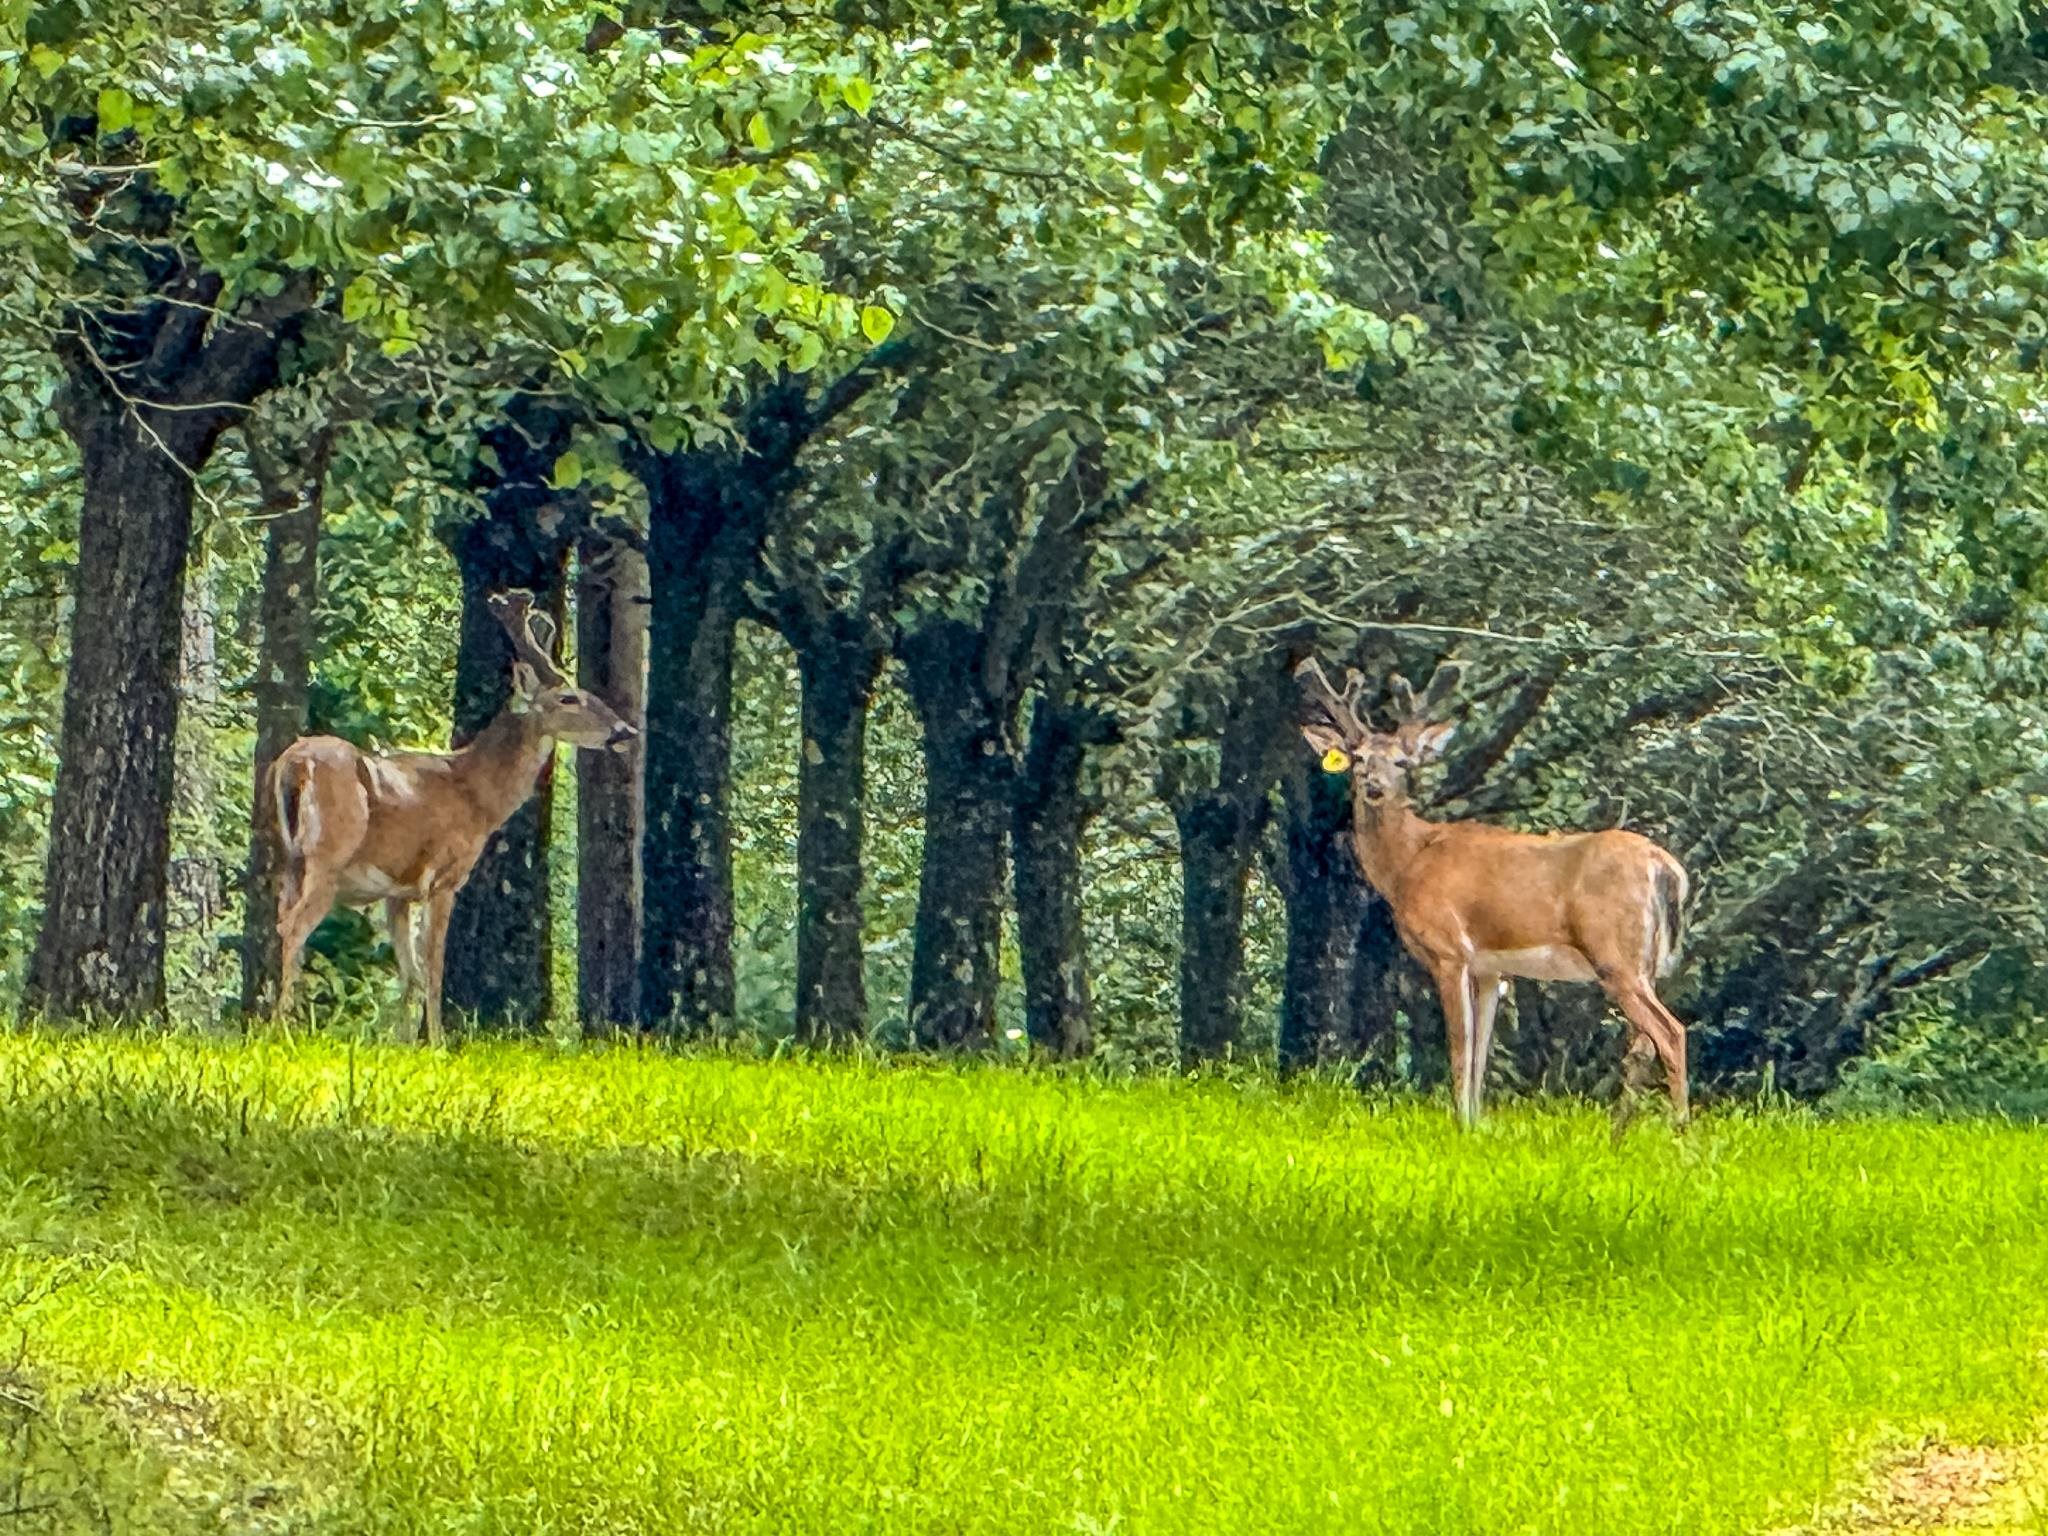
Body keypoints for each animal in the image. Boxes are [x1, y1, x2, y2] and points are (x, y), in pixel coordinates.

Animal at [269, 589, 636, 1045]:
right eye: (569, 697)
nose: (625, 731)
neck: (477, 794)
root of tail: (293, 765)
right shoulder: (444, 876)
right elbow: (433, 969)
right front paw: (439, 1042)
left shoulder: (398, 892)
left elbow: (409, 973)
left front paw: (402, 1042)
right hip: (327, 857)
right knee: (293, 927)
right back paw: (280, 1030)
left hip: (288, 859)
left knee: (280, 924)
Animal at [1296, 657, 1691, 1129]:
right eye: (1357, 758)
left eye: (1403, 761)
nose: (1373, 785)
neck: (1408, 862)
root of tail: (1664, 865)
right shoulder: (1490, 967)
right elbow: (1480, 1053)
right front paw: (1475, 1123)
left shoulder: (1450, 950)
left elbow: (1460, 1047)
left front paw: (1460, 1124)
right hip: (1647, 961)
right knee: (1644, 1042)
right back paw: (1621, 1130)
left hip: (1615, 951)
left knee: (1671, 1032)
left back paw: (1680, 1131)